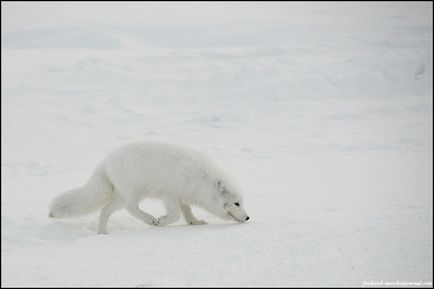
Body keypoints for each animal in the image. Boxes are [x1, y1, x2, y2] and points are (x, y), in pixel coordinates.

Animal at [49, 141, 249, 233]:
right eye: (237, 203)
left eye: (242, 202)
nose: (248, 218)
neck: (202, 180)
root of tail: (105, 162)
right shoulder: (169, 194)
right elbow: (175, 215)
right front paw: (161, 221)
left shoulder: (183, 196)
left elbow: (187, 212)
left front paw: (195, 222)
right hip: (132, 193)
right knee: (130, 208)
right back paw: (149, 219)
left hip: (121, 195)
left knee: (105, 211)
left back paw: (102, 233)